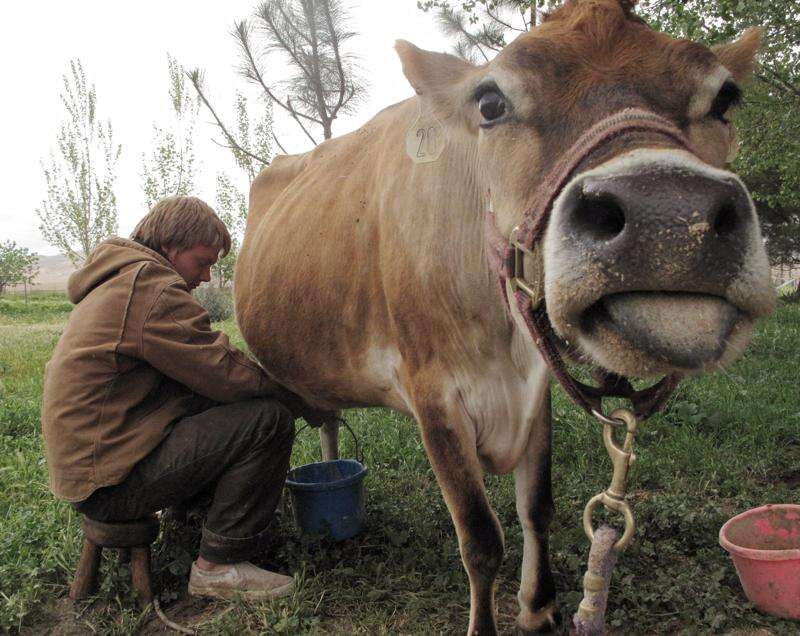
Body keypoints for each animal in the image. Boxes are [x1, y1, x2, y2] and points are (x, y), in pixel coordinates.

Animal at [233, 2, 776, 632]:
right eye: (490, 102)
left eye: (725, 98)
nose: (666, 215)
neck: (500, 342)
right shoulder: (432, 395)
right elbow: (480, 537)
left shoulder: (536, 387)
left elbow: (537, 506)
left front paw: (538, 607)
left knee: (327, 424)